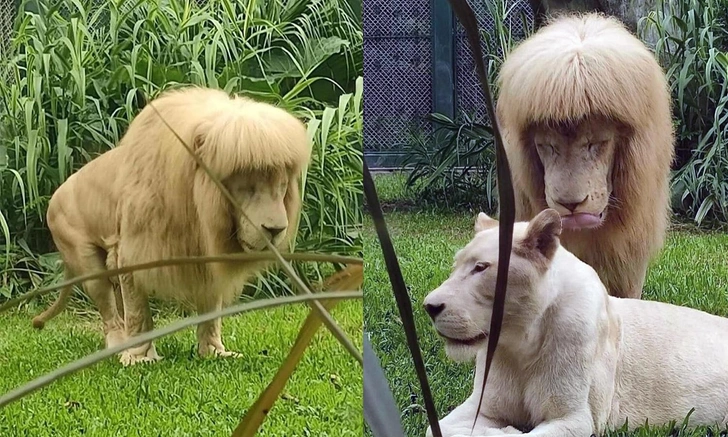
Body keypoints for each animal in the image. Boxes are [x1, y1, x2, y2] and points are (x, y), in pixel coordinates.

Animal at [32, 86, 310, 366]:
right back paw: (119, 347)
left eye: (281, 187)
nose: (276, 229)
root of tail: (53, 199)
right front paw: (140, 358)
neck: (198, 211)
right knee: (110, 312)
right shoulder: (133, 252)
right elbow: (138, 312)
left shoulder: (206, 258)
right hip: (86, 260)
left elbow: (211, 311)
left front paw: (214, 352)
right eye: (247, 188)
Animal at [423, 209, 728, 437]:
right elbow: (435, 428)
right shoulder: (483, 406)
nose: (429, 307)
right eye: (456, 266)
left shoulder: (577, 418)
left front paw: (505, 431)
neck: (520, 344)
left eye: (481, 268)